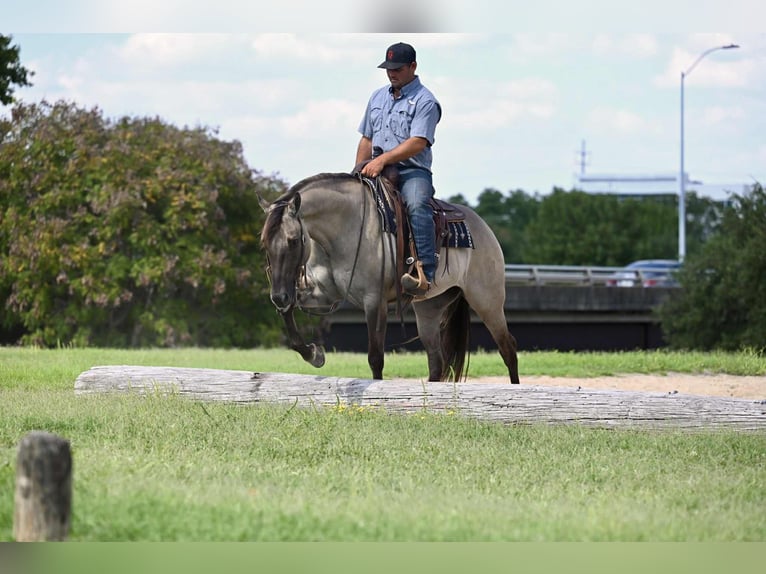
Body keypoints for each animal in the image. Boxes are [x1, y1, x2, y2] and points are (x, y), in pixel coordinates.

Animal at [259, 172, 520, 384]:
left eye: (293, 240)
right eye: (264, 243)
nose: (278, 296)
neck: (345, 227)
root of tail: (483, 226)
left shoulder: (374, 300)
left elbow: (375, 357)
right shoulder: (322, 294)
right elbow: (291, 324)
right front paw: (314, 354)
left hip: (487, 301)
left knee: (508, 348)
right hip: (429, 308)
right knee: (436, 361)